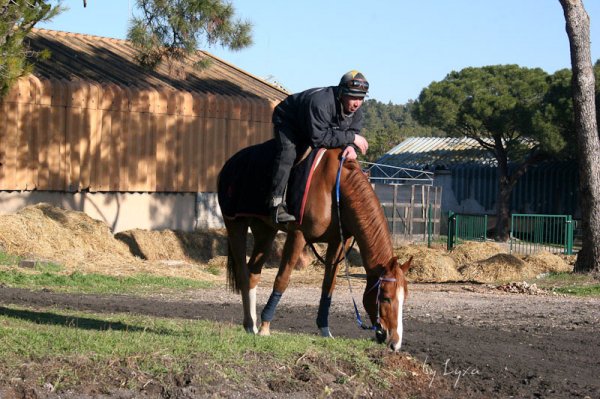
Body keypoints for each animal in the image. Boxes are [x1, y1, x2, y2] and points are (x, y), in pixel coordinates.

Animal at [219, 144, 412, 350]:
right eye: (385, 297)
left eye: (404, 298)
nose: (395, 342)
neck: (336, 190)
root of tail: (230, 163)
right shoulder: (297, 235)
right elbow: (282, 279)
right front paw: (265, 327)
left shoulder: (338, 242)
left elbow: (328, 285)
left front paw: (325, 329)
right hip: (235, 224)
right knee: (242, 272)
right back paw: (251, 324)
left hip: (265, 231)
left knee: (253, 273)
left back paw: (251, 325)